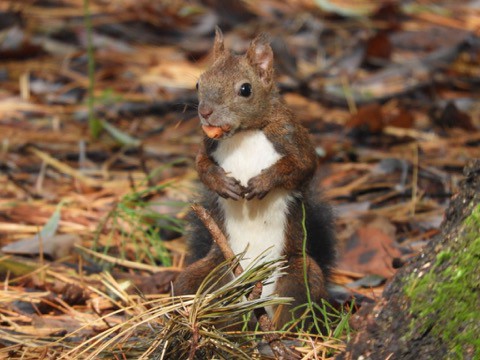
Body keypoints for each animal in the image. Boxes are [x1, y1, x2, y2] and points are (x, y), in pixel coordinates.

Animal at [173, 26, 338, 328]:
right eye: (198, 84)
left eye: (245, 89)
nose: (205, 113)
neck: (244, 134)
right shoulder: (207, 144)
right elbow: (201, 166)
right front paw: (222, 183)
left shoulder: (291, 136)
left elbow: (304, 166)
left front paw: (264, 182)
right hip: (208, 273)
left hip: (299, 274)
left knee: (298, 306)